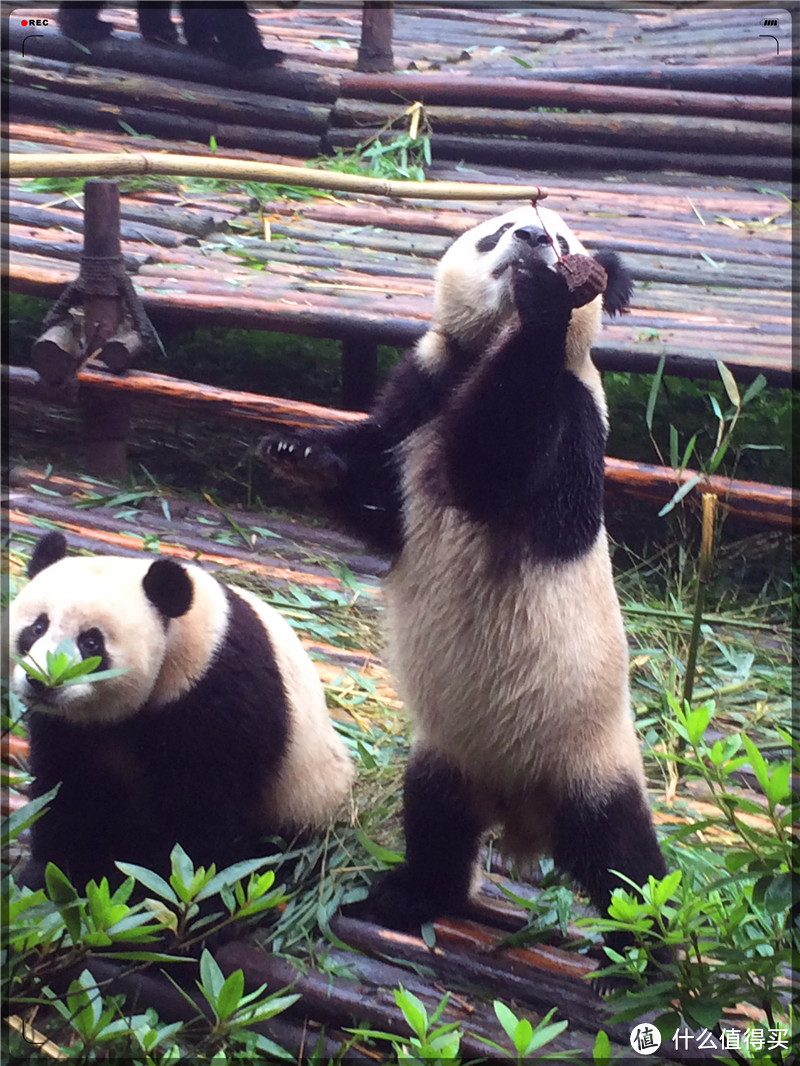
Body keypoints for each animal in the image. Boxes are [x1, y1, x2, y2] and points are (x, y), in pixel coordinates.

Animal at [8, 533, 354, 891]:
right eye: (37, 627)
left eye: (91, 642)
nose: (42, 681)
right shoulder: (66, 725)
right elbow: (67, 788)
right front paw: (51, 874)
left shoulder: (215, 693)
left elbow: (199, 809)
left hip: (302, 796)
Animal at [258, 203, 669, 963]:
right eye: (498, 230)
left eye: (563, 239)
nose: (532, 242)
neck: (483, 351)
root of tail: (522, 819)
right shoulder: (427, 380)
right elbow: (387, 506)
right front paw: (301, 453)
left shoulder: (571, 412)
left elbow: (488, 466)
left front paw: (546, 299)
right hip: (445, 752)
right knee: (435, 819)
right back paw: (411, 894)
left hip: (588, 756)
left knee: (624, 858)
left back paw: (644, 955)